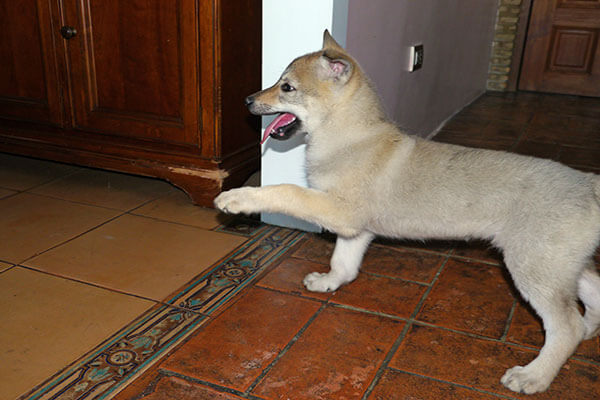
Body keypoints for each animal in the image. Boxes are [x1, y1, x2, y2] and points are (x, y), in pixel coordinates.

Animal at [218, 30, 600, 394]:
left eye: (287, 87)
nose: (247, 100)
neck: (349, 137)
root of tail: (588, 184)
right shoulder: (357, 229)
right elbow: (344, 264)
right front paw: (329, 282)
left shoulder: (339, 211)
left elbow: (285, 191)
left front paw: (236, 198)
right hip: (558, 264)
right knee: (591, 293)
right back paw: (590, 330)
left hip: (532, 265)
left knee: (566, 326)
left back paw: (534, 376)